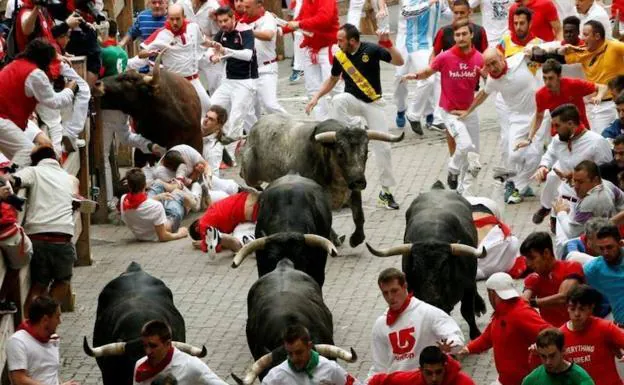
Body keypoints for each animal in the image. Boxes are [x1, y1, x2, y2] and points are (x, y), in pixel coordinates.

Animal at [239, 112, 404, 248]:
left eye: (366, 152)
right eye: (340, 153)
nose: (359, 182)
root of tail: (256, 126)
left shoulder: (353, 191)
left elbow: (359, 216)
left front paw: (356, 239)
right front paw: (334, 239)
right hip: (250, 174)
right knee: (250, 182)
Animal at [368, 184, 490, 338]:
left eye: (444, 265)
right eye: (415, 266)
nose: (431, 299)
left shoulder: (468, 285)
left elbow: (467, 311)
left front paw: (475, 334)